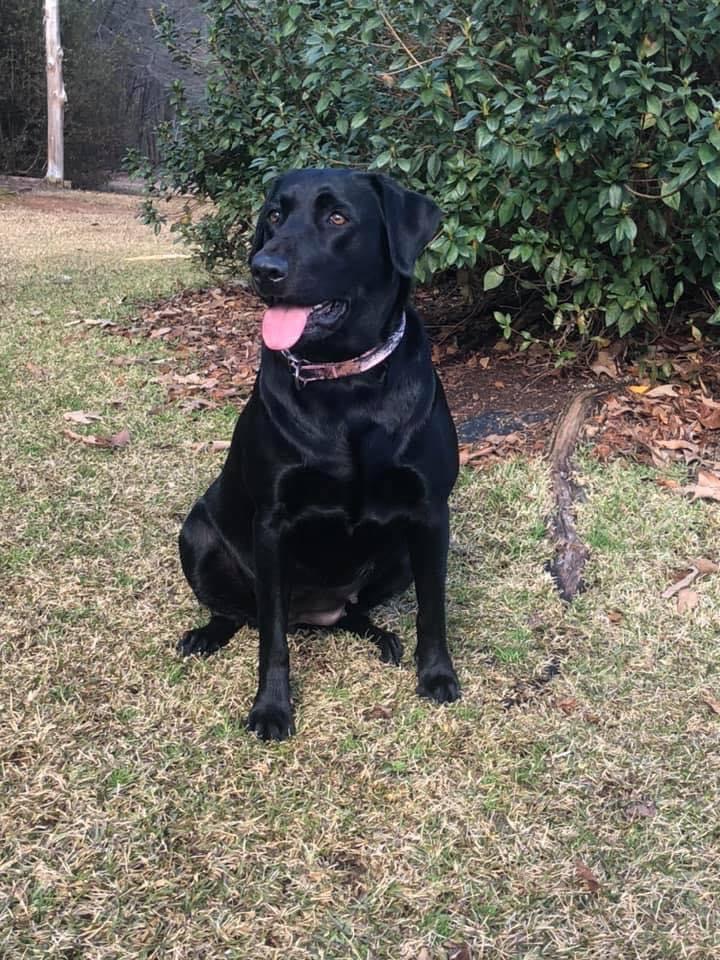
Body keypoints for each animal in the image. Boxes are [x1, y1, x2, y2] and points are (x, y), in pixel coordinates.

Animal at [179, 169, 462, 740]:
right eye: (274, 215)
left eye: (337, 217)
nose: (264, 269)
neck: (346, 383)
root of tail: (315, 615)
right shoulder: (272, 523)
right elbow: (271, 638)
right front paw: (271, 708)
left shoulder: (431, 515)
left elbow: (432, 609)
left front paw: (437, 674)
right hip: (195, 534)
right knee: (237, 613)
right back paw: (205, 635)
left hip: (398, 554)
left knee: (354, 611)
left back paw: (379, 636)